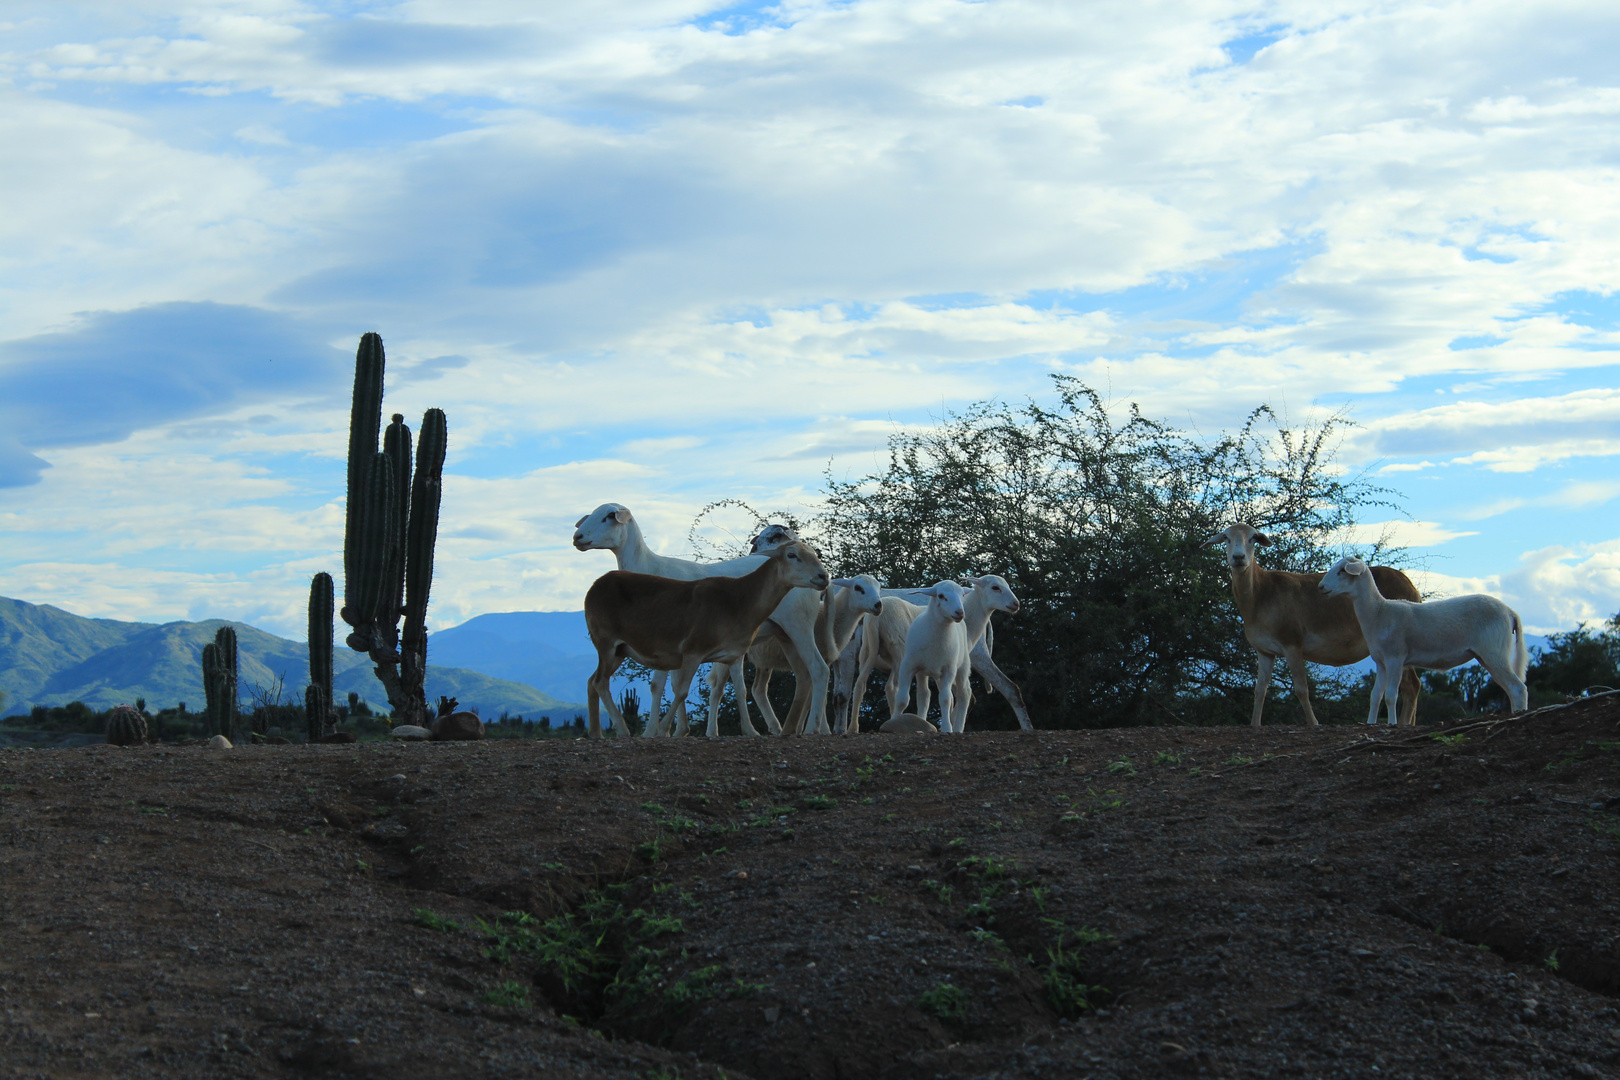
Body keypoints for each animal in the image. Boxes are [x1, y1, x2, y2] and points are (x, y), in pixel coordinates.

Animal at [1321, 557, 1522, 725]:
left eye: (1342, 571)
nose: (1321, 587)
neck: (1379, 612)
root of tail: (1510, 611)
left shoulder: (1395, 658)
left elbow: (1390, 695)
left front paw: (1392, 723)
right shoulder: (1381, 661)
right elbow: (1375, 695)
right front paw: (1370, 723)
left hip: (1495, 651)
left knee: (1518, 687)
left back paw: (1519, 715)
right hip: (1487, 655)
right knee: (1511, 689)